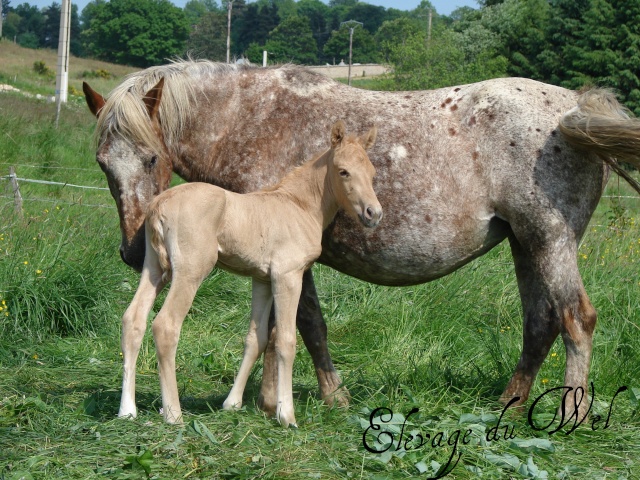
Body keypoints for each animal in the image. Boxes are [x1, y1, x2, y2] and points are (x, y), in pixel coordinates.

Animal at [119, 121, 380, 428]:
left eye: (372, 173)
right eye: (343, 171)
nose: (373, 213)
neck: (299, 205)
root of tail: (159, 205)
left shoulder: (262, 278)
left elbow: (256, 338)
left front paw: (232, 403)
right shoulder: (287, 276)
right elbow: (286, 340)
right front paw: (286, 415)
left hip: (154, 268)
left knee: (133, 319)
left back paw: (127, 410)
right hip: (190, 270)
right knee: (165, 325)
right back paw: (173, 413)